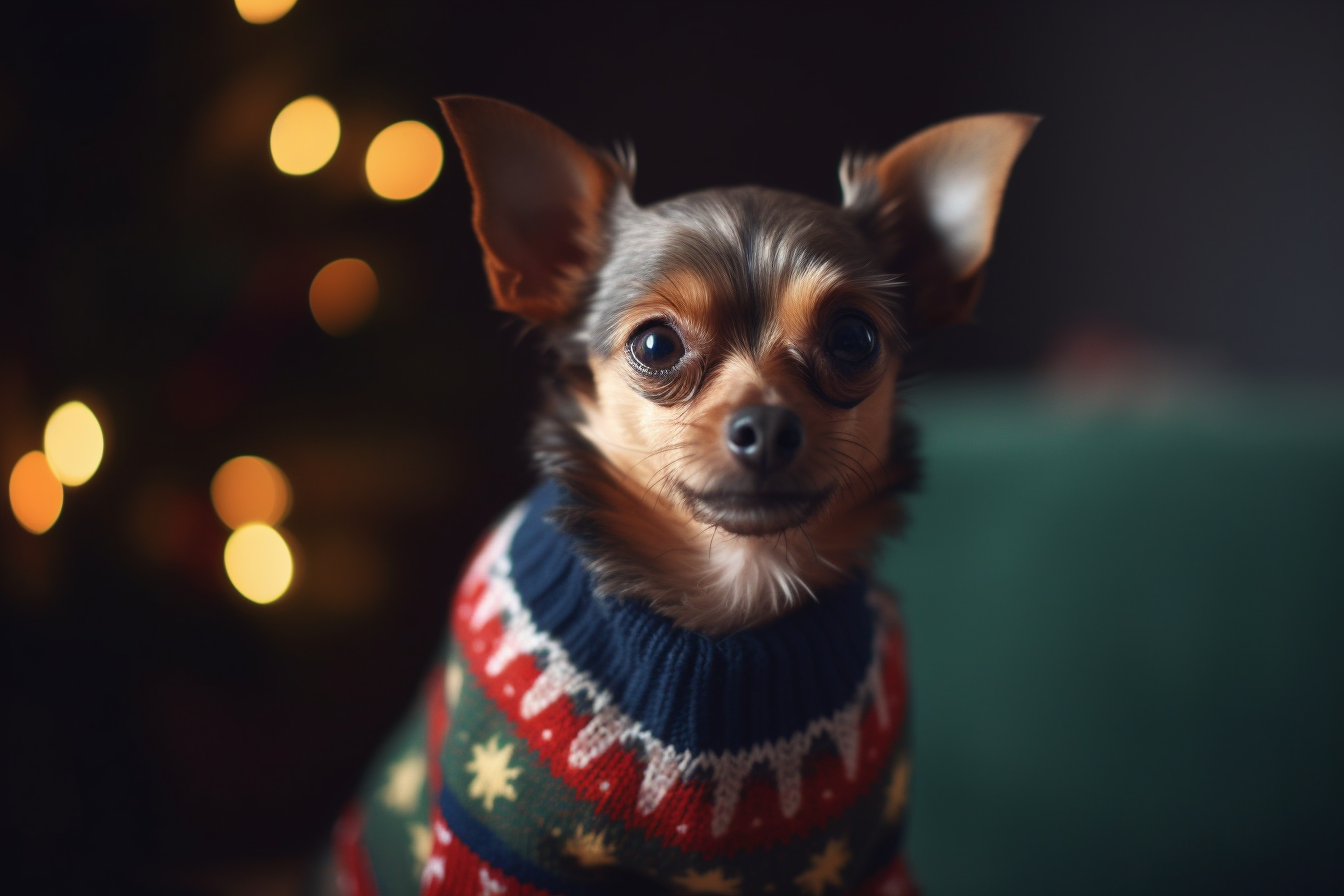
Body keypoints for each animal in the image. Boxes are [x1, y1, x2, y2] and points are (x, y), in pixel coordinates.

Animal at [330, 98, 1032, 896]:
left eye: (854, 338)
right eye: (656, 345)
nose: (767, 426)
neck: (730, 606)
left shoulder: (863, 863)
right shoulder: (490, 852)